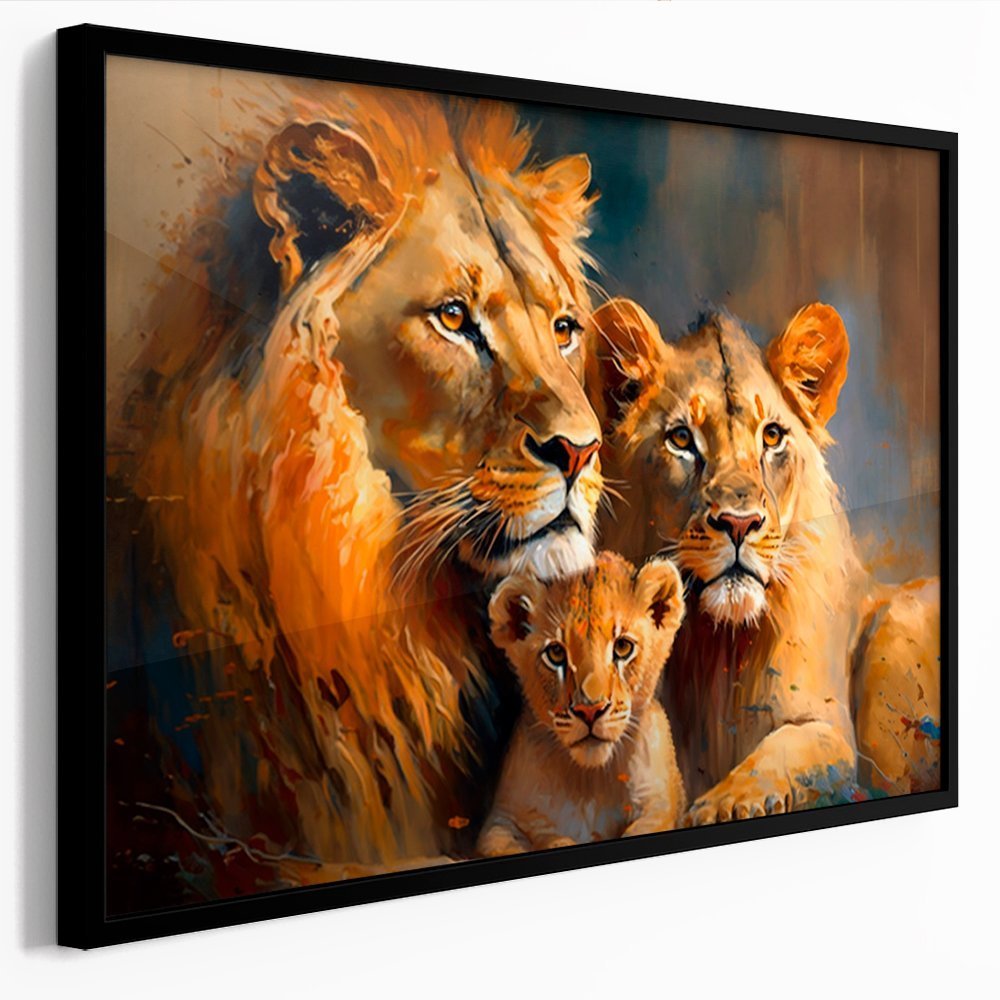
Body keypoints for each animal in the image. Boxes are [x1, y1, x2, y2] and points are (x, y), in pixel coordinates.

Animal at [478, 551, 687, 856]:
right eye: (555, 653)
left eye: (622, 647)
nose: (590, 710)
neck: (589, 781)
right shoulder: (499, 822)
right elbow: (539, 838)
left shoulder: (661, 805)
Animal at [586, 299, 940, 825]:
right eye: (681, 439)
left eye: (772, 436)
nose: (739, 523)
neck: (715, 648)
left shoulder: (827, 727)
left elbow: (787, 748)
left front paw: (723, 805)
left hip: (898, 629)